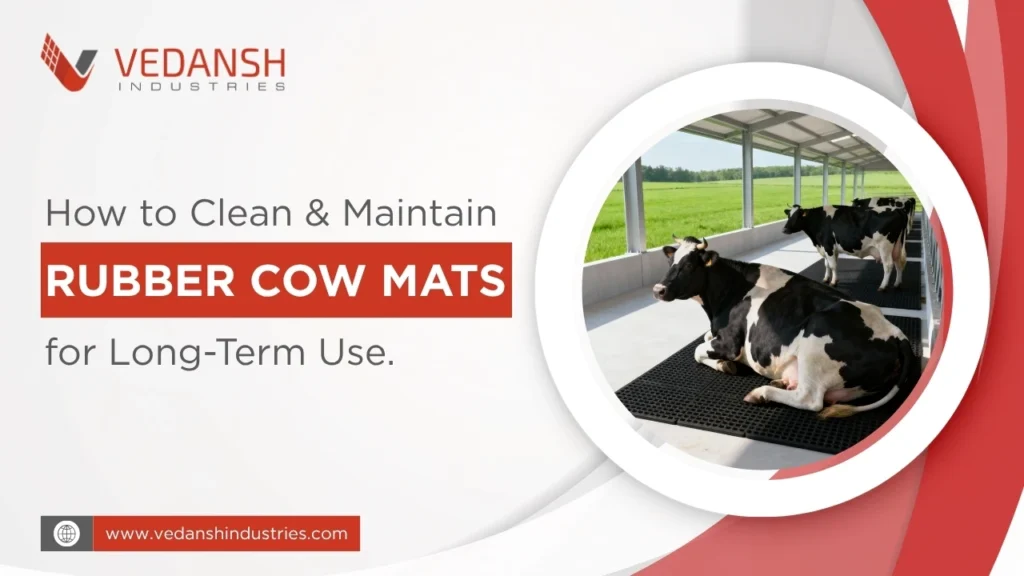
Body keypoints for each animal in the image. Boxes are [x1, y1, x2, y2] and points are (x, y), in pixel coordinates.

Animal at [652, 236, 919, 418]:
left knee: (810, 398)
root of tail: (897, 334)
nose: (658, 289)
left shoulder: (730, 343)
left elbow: (697, 351)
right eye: (671, 261)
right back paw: (780, 383)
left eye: (689, 265)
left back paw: (762, 393)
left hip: (816, 336)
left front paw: (723, 364)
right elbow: (704, 339)